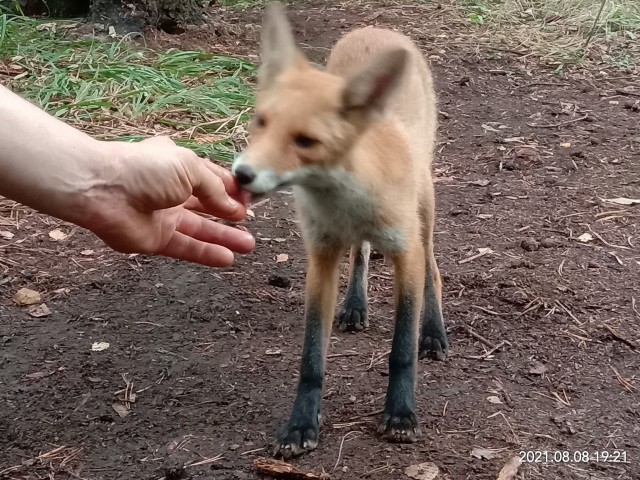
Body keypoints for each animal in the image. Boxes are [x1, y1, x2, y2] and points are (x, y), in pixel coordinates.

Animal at [231, 2, 450, 458]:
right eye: (261, 122)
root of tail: (378, 28)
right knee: (361, 253)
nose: (240, 174)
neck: (347, 204)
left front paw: (400, 413)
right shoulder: (321, 255)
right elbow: (312, 357)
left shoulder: (405, 251)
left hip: (425, 211)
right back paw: (355, 305)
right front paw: (301, 424)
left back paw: (434, 332)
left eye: (305, 141)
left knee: (435, 271)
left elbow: (401, 349)